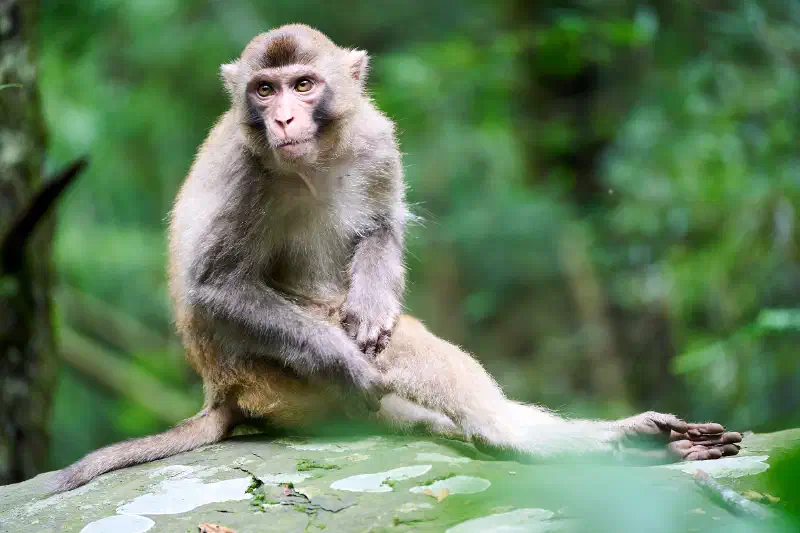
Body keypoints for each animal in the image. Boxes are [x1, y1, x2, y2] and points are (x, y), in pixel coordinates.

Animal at [48, 24, 741, 493]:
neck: (314, 162)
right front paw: (341, 355)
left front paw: (375, 303)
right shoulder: (244, 172)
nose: (283, 118)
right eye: (264, 90)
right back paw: (534, 435)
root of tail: (221, 393)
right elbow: (214, 286)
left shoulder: (377, 137)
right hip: (267, 377)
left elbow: (381, 228)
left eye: (304, 85)